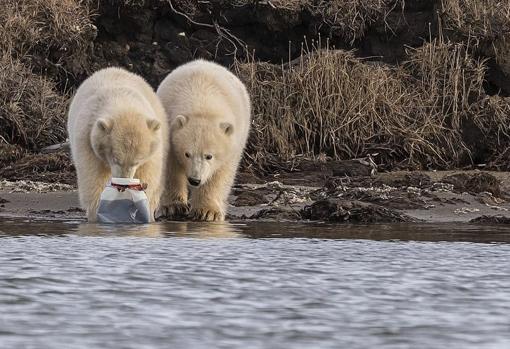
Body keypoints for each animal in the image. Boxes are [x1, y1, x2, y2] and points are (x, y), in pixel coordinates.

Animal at [66, 66, 167, 222]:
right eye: (115, 159)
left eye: (136, 162)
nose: (123, 184)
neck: (121, 101)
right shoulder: (87, 138)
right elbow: (93, 177)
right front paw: (96, 214)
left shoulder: (153, 148)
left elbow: (148, 174)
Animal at [156, 59, 250, 220]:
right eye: (187, 154)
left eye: (209, 156)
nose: (195, 180)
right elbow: (170, 168)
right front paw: (173, 206)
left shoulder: (233, 143)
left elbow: (220, 174)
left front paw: (208, 212)